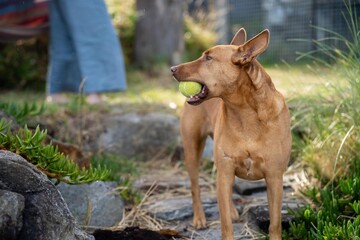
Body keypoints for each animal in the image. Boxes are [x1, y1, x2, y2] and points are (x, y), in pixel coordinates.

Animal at [170, 28, 292, 240]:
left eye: (208, 58)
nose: (172, 68)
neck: (245, 113)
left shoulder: (275, 178)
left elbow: (275, 224)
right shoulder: (226, 172)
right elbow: (225, 224)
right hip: (192, 151)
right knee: (195, 188)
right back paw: (199, 218)